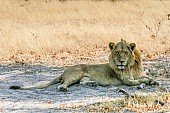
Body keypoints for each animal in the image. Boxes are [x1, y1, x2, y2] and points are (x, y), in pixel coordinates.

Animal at [9, 38, 157, 91]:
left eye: (125, 53)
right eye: (117, 53)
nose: (121, 61)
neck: (129, 66)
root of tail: (63, 71)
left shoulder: (138, 74)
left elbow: (145, 77)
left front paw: (153, 81)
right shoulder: (125, 81)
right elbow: (137, 82)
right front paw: (147, 82)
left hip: (81, 77)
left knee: (81, 82)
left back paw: (93, 83)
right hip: (75, 75)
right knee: (64, 83)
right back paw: (63, 88)